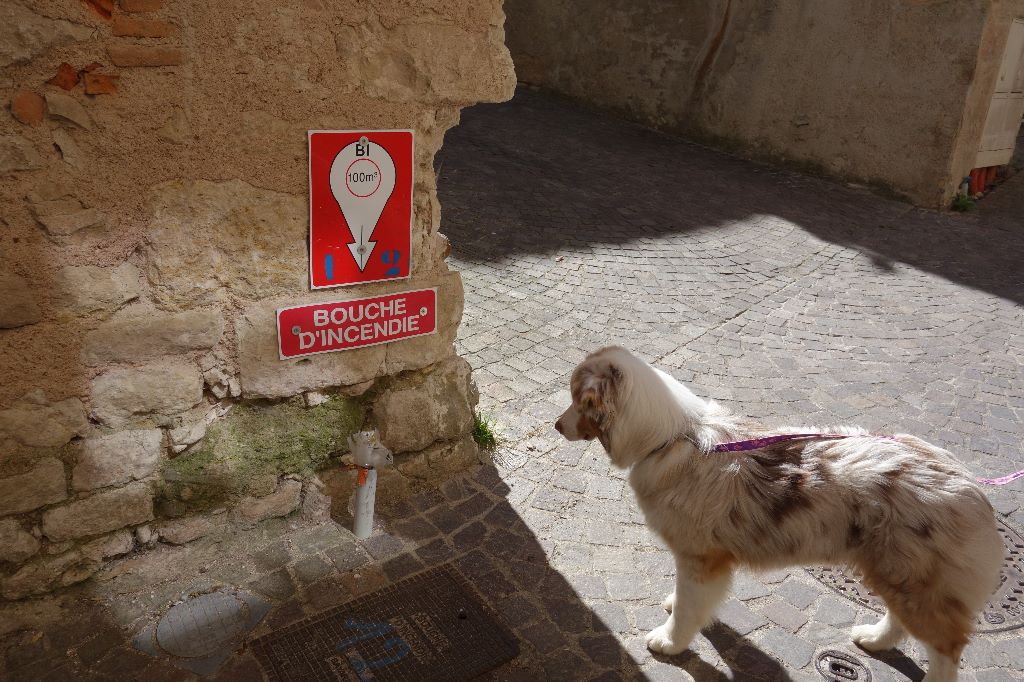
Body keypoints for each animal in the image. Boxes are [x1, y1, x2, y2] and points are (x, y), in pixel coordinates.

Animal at [554, 346, 1002, 682]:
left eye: (577, 399)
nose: (556, 425)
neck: (669, 437)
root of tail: (972, 486)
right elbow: (691, 603)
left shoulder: (701, 558)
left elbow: (687, 609)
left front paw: (670, 642)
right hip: (894, 570)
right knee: (899, 618)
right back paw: (873, 639)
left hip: (918, 582)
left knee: (947, 648)